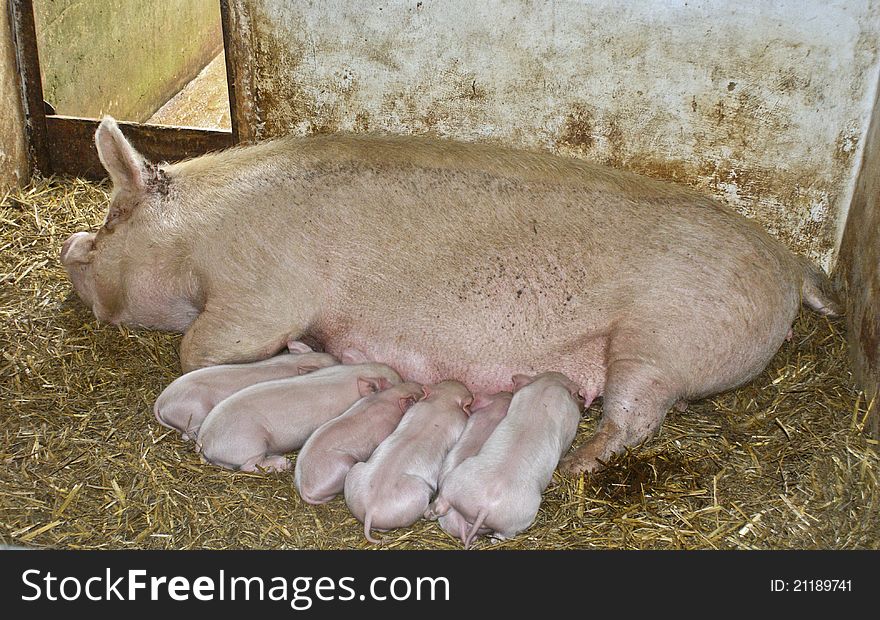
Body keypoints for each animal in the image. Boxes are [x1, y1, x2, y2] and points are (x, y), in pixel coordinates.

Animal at [60, 117, 840, 474]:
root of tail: (789, 262)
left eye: (112, 219)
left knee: (637, 415)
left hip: (661, 344)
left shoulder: (262, 291)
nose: (72, 245)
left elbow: (198, 349)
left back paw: (581, 462)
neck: (196, 236)